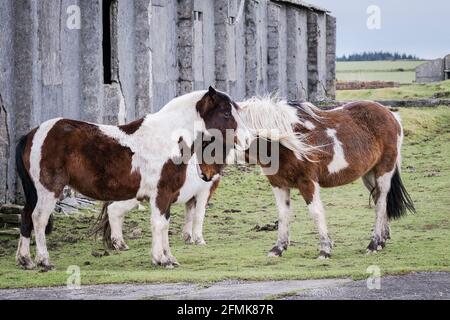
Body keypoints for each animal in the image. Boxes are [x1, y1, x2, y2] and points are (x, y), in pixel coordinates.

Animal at [15, 87, 250, 270]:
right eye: (226, 113)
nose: (247, 139)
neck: (169, 137)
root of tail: (32, 134)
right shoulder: (162, 194)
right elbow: (159, 224)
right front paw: (161, 259)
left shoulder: (167, 196)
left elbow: (165, 224)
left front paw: (168, 258)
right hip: (48, 190)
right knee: (38, 218)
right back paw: (44, 260)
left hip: (35, 193)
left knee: (26, 217)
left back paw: (26, 260)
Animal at [237, 97, 416, 258]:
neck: (284, 143)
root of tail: (391, 115)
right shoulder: (278, 184)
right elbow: (282, 214)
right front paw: (278, 248)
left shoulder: (307, 182)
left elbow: (316, 212)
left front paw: (325, 249)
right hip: (369, 175)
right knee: (379, 199)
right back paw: (381, 241)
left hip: (383, 171)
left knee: (380, 204)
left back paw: (373, 244)